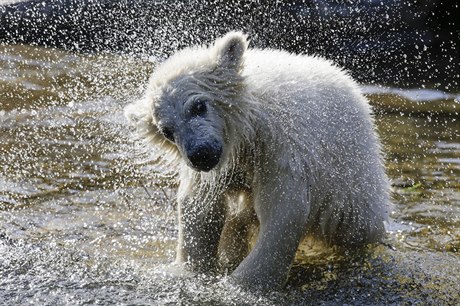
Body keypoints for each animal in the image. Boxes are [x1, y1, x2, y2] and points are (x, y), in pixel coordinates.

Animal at [126, 31, 392, 290]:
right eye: (167, 131)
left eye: (199, 106)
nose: (200, 155)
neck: (249, 126)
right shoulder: (218, 168)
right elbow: (201, 207)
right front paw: (190, 271)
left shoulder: (281, 147)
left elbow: (283, 209)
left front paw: (244, 283)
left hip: (349, 180)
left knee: (355, 225)